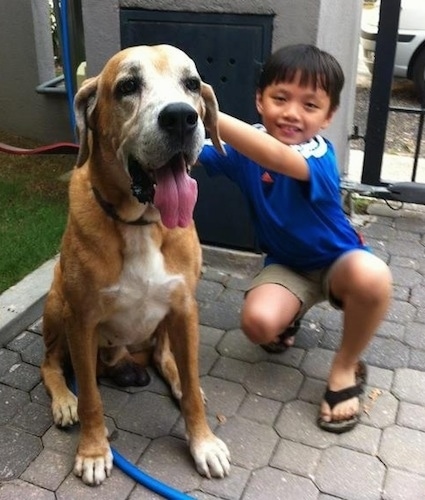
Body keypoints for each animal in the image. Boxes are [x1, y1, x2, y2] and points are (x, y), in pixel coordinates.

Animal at [41, 45, 230, 486]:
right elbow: (91, 397)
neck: (141, 223)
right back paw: (64, 400)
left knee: (165, 358)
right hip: (57, 302)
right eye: (128, 86)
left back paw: (174, 378)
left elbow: (191, 385)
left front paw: (203, 442)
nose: (181, 117)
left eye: (191, 83)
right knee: (51, 363)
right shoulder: (81, 319)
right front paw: (93, 451)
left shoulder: (185, 307)